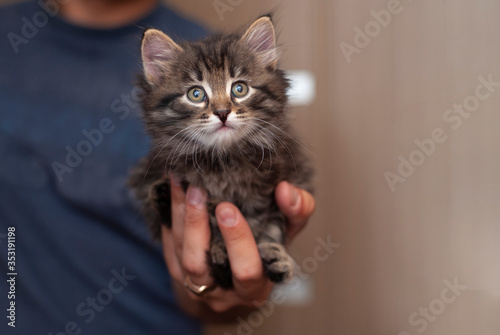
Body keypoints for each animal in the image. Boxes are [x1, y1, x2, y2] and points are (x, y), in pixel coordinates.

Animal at [129, 15, 312, 288]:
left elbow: (271, 223)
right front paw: (220, 251)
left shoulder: (285, 176)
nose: (223, 112)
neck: (224, 160)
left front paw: (275, 254)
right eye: (196, 94)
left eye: (239, 89)